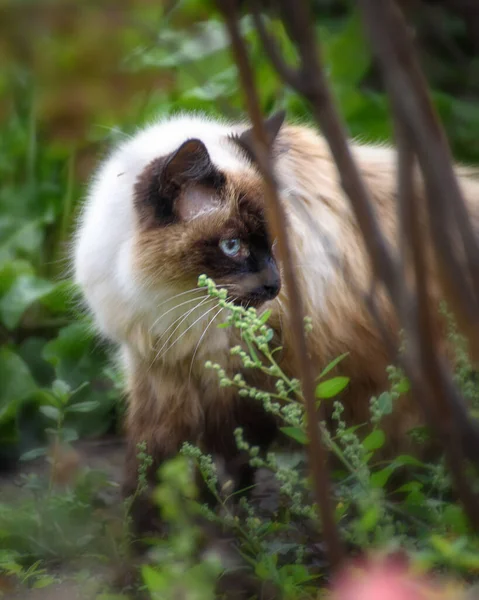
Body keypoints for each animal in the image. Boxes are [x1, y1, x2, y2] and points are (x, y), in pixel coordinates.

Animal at [72, 110, 479, 532]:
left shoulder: (252, 383)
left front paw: (228, 525)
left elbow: (232, 463)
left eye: (274, 241)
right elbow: (150, 466)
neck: (177, 308)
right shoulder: (160, 376)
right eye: (232, 246)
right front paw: (147, 534)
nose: (274, 285)